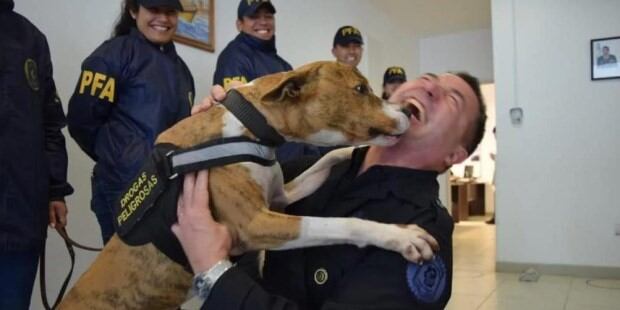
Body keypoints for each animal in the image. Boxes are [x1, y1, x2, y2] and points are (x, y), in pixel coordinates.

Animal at [58, 61, 432, 308]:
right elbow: (341, 224)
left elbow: (326, 160)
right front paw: (400, 236)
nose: (407, 110)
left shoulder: (282, 196)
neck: (249, 124)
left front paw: (351, 153)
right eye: (359, 89)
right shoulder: (256, 223)